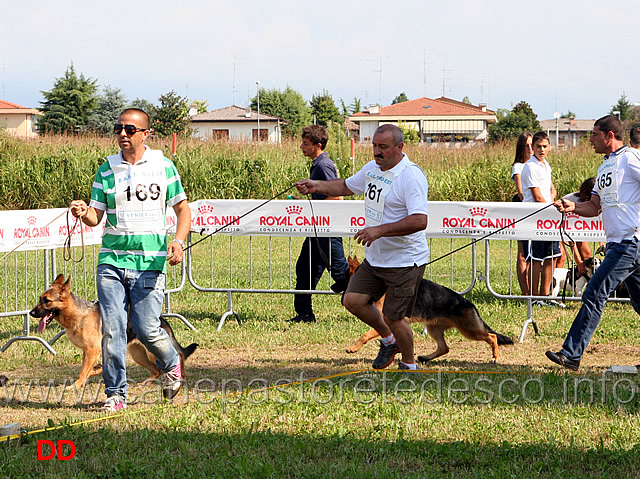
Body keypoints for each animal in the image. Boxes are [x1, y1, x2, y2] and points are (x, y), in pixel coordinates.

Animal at [28, 274, 198, 390]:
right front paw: (95, 372)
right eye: (40, 298)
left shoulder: (92, 350)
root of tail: (161, 320)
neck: (78, 313)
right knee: (156, 371)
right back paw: (146, 382)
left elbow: (83, 371)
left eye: (47, 301)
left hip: (153, 351)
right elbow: (88, 369)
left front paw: (76, 385)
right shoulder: (89, 352)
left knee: (178, 355)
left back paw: (180, 377)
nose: (30, 313)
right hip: (138, 354)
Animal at [344, 258, 516, 364]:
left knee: (492, 336)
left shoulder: (386, 320)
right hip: (435, 329)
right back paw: (425, 358)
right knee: (444, 348)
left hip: (469, 330)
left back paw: (494, 357)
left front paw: (353, 347)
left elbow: (365, 335)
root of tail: (468, 303)